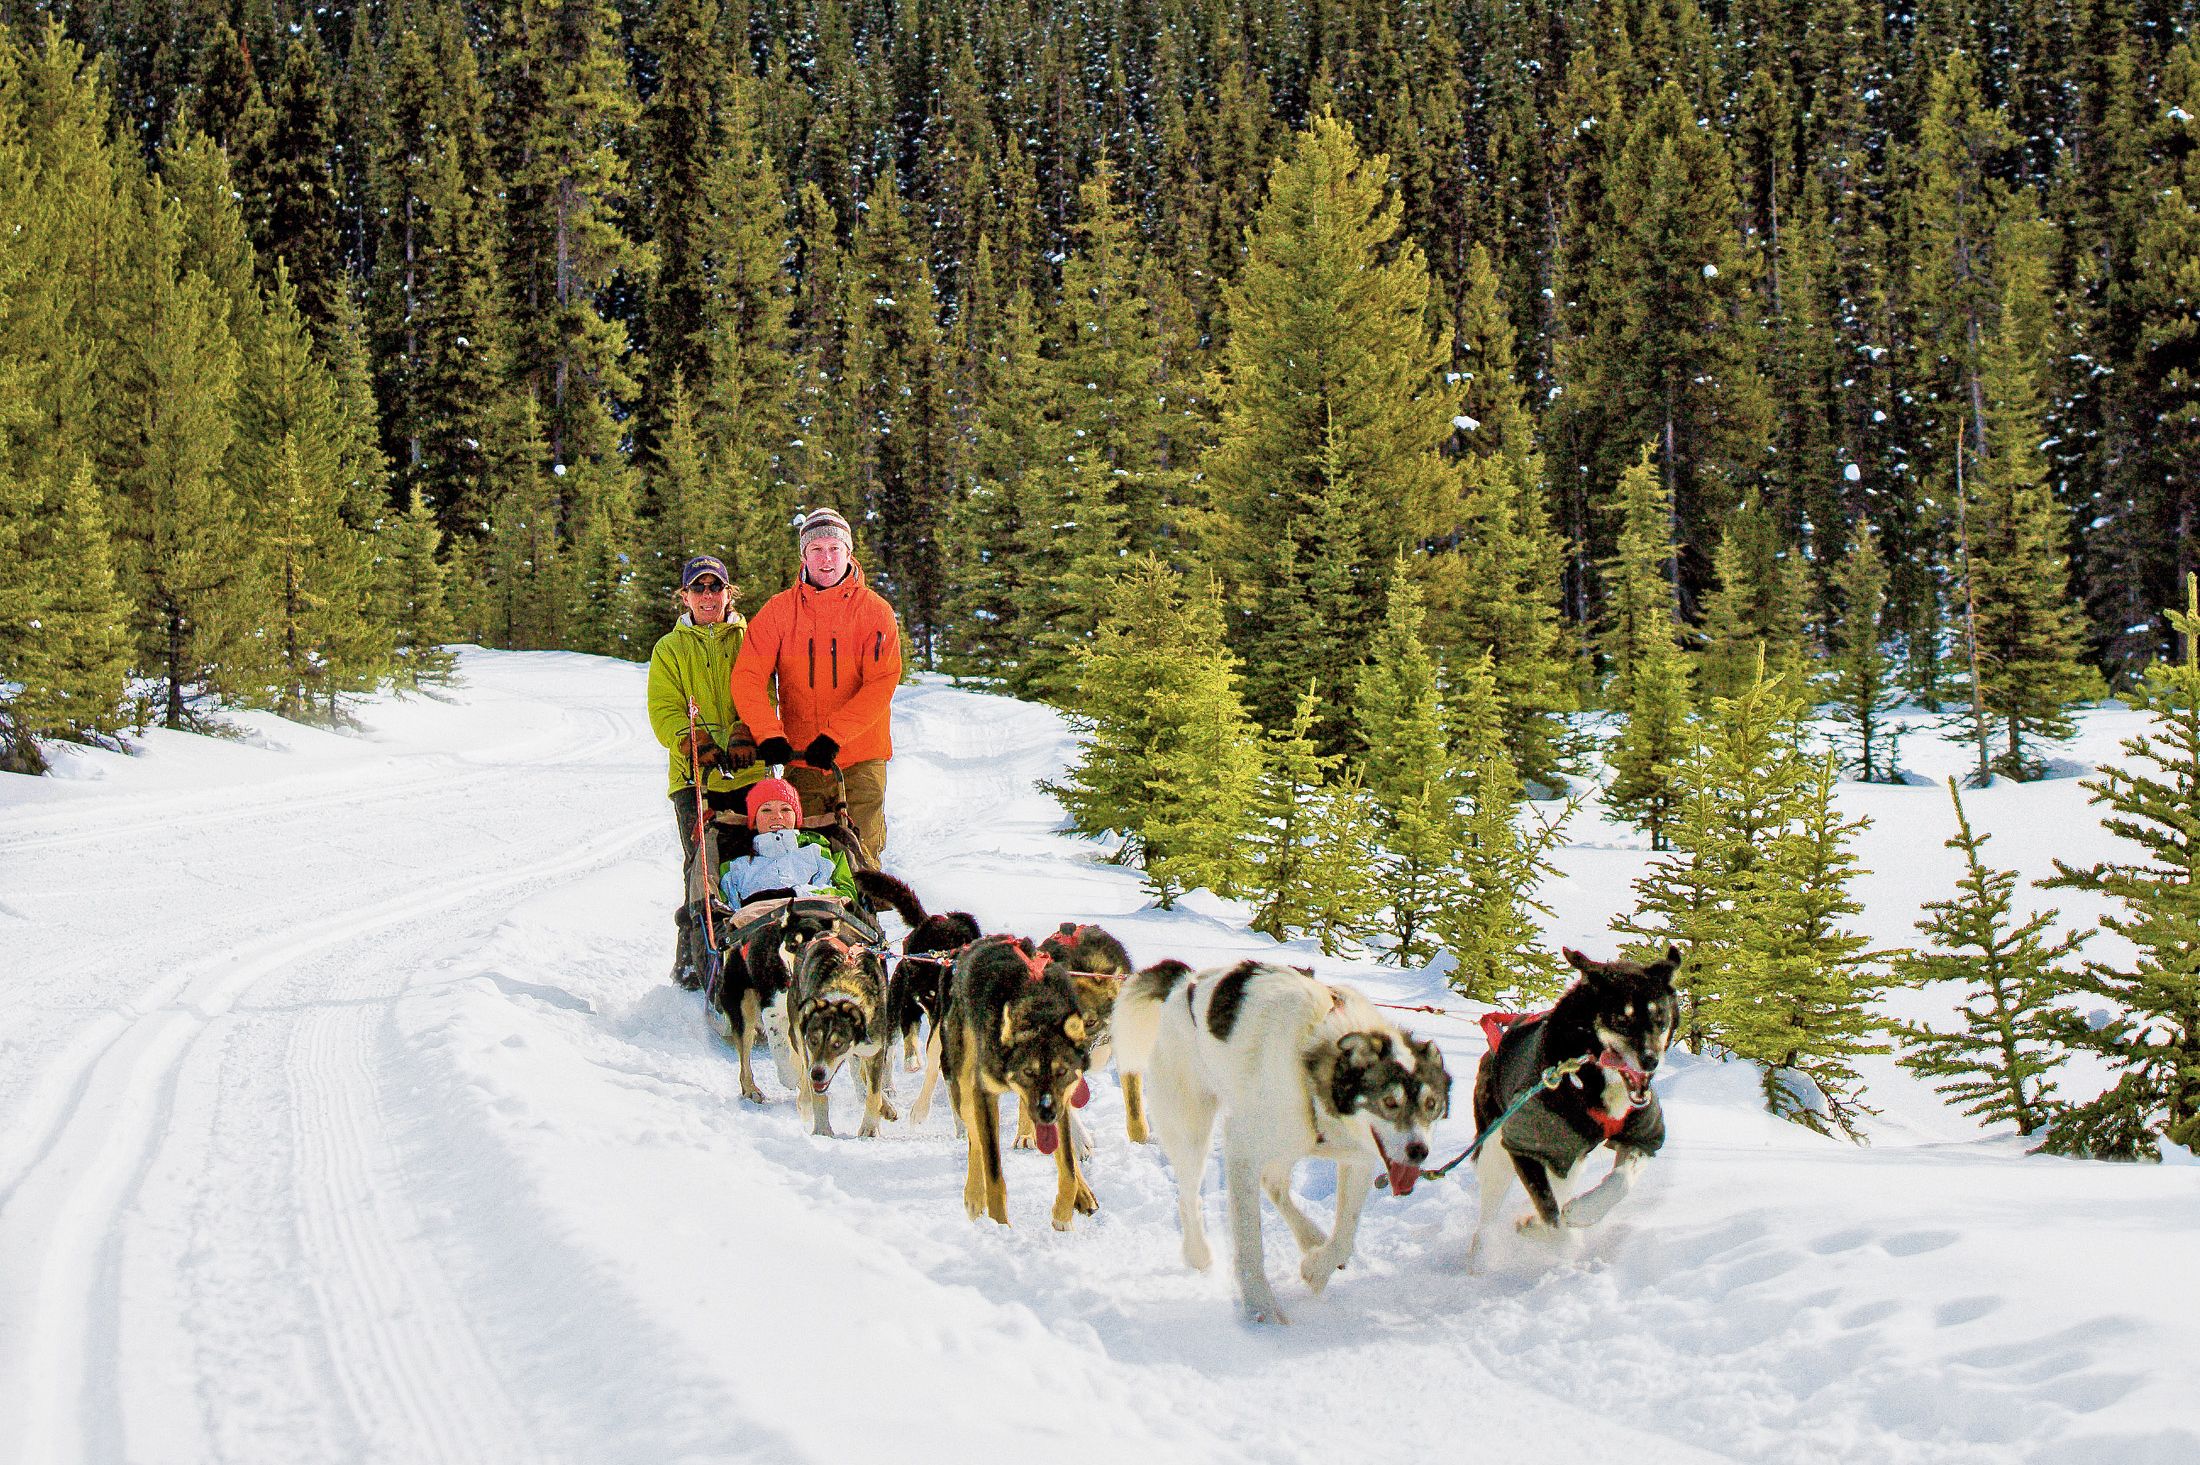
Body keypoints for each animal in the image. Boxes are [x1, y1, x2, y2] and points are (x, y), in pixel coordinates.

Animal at [941, 928, 1095, 1223]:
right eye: (1028, 1071)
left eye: (1062, 1071)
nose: (1046, 1113)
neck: (1037, 1007)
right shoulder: (984, 1093)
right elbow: (993, 1172)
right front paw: (999, 1225)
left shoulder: (1060, 1101)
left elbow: (1068, 1168)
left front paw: (1063, 1215)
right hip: (966, 1088)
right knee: (974, 1140)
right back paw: (974, 1195)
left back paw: (1083, 1192)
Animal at [1469, 941, 1689, 1258]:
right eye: (1621, 1020)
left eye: (1660, 1019)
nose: (1650, 1061)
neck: (1591, 1079)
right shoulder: (1524, 1146)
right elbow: (1551, 1216)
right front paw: (1562, 1242)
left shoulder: (1641, 1136)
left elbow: (1622, 1181)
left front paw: (1583, 1212)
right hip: (1495, 1150)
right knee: (1488, 1217)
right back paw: (1481, 1256)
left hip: (1568, 1159)